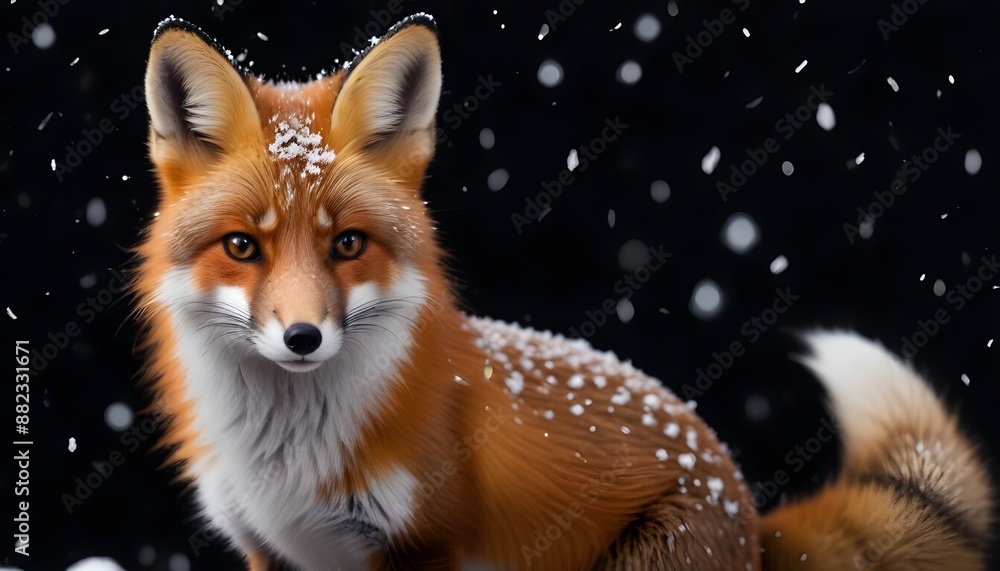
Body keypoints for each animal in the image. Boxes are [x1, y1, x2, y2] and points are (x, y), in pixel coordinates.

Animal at [131, 13, 993, 571]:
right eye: (242, 246)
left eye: (347, 244)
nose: (303, 338)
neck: (289, 455)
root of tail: (749, 512)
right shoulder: (270, 552)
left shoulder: (423, 545)